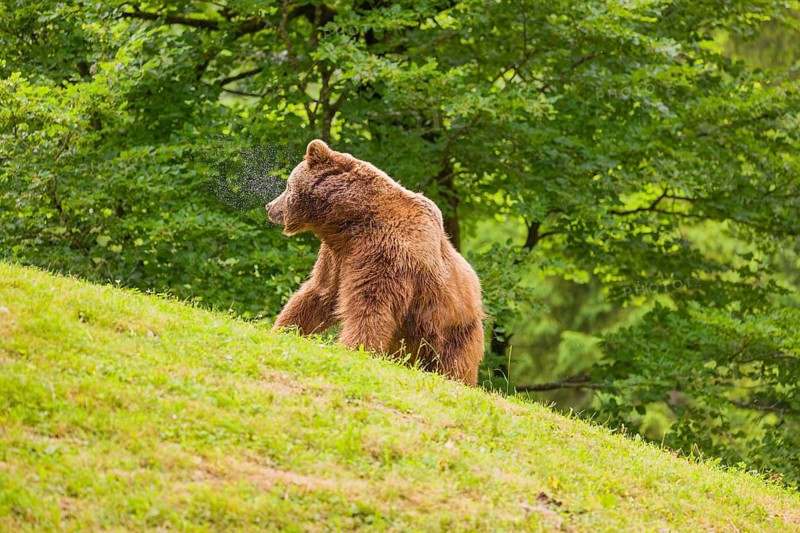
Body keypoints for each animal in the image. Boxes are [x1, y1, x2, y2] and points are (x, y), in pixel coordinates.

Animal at [266, 140, 485, 386]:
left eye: (287, 185)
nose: (270, 207)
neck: (351, 220)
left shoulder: (384, 254)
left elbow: (370, 304)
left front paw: (352, 348)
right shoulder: (338, 255)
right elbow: (320, 293)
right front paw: (284, 328)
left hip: (454, 330)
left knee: (455, 364)